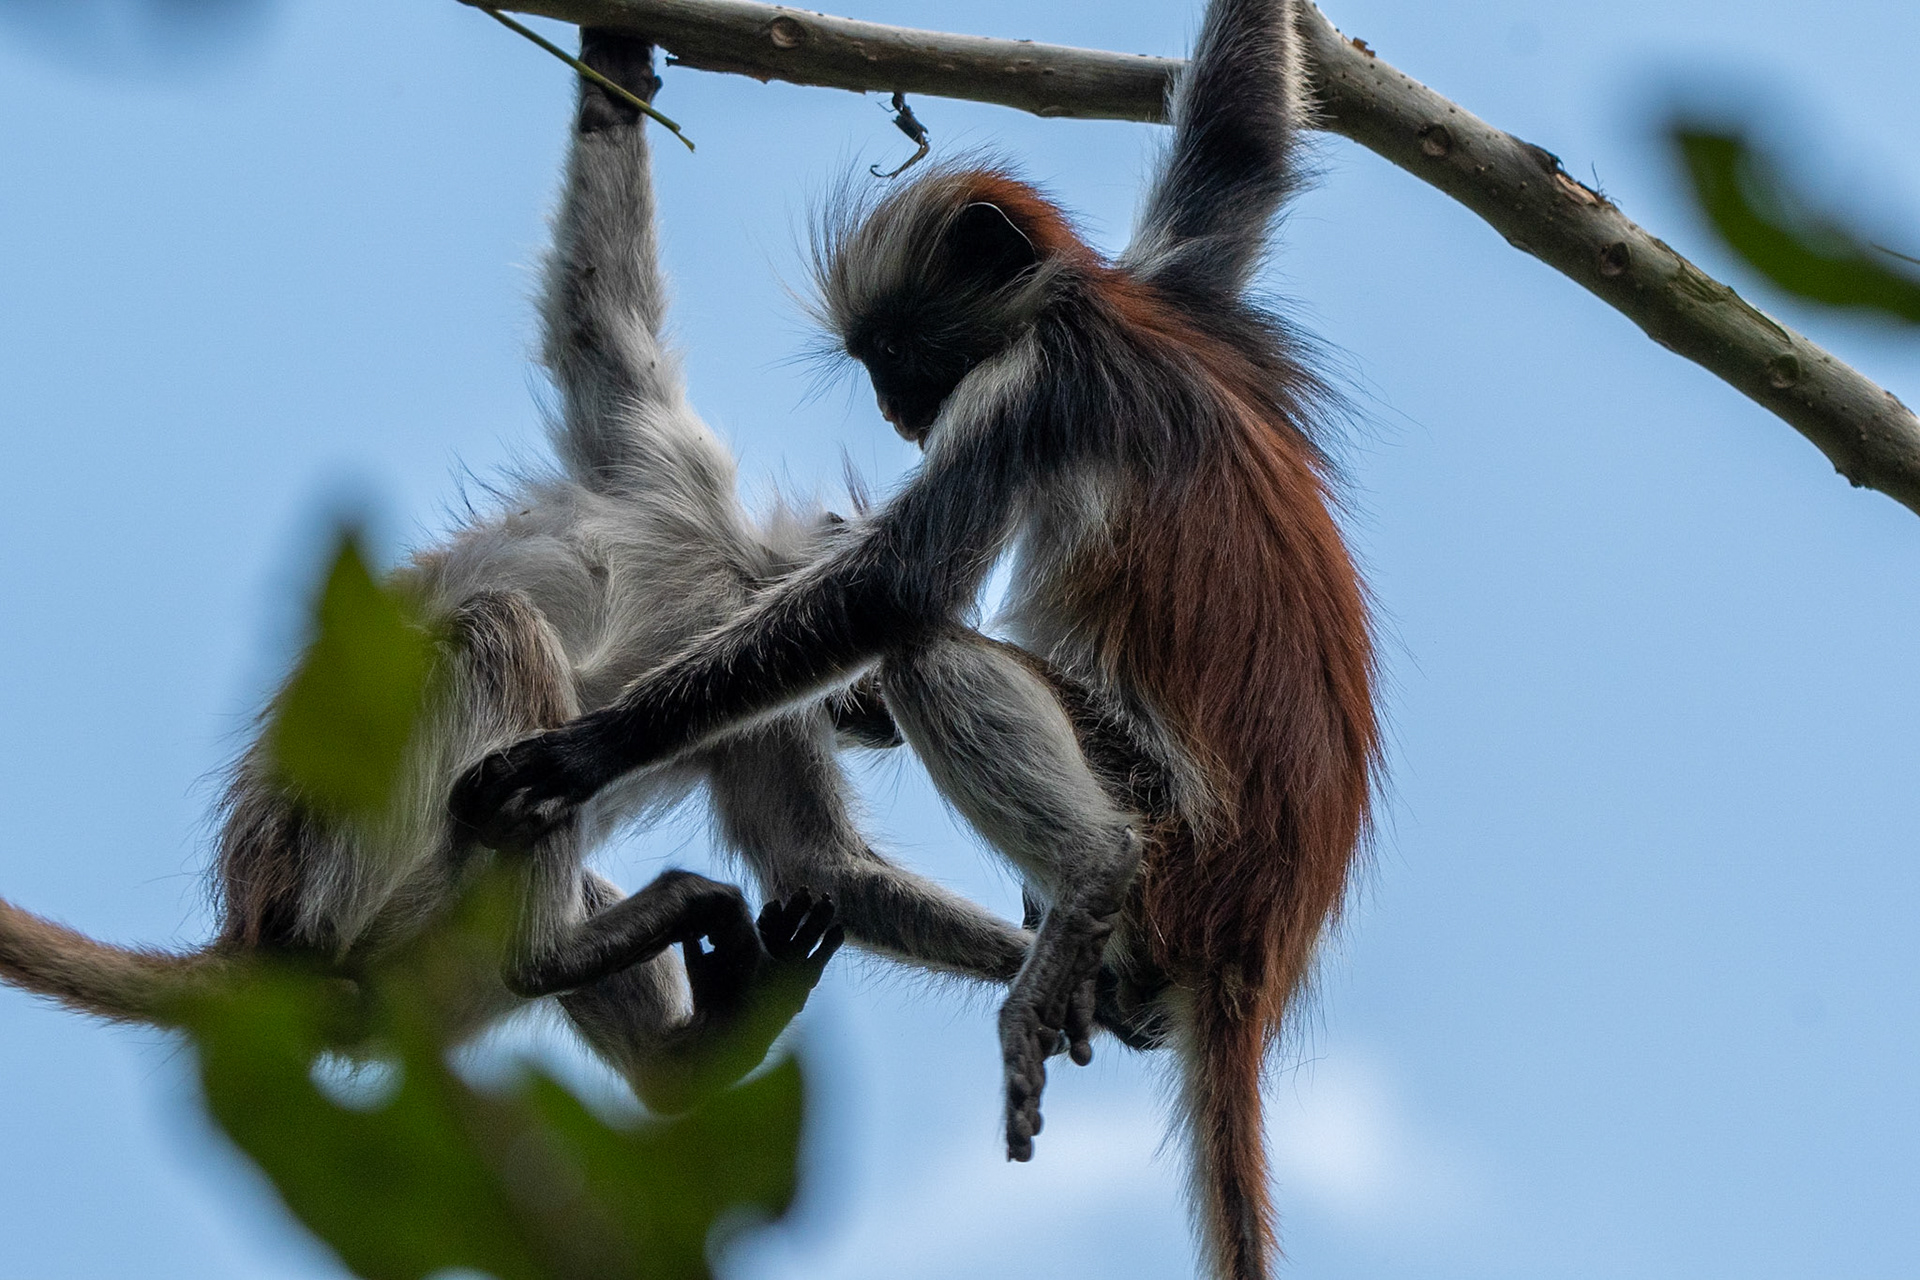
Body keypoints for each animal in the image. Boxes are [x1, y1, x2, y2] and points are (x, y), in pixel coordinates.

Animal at [0, 31, 1040, 1112]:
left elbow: (819, 866)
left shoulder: (757, 705)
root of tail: (262, 935)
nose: (880, 717)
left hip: (418, 949)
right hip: (351, 862)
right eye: (864, 675)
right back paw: (554, 955)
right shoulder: (670, 468)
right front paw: (617, 66)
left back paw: (685, 1056)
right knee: (492, 629)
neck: (729, 581)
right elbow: (598, 309)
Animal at [453, 3, 1375, 1274]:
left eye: (896, 354)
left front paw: (579, 754)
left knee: (927, 648)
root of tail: (1262, 934)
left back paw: (1090, 878)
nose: (899, 414)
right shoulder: (1178, 286)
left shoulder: (1027, 385)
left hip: (1177, 825)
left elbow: (892, 593)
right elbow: (1243, 145)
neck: (1089, 306)